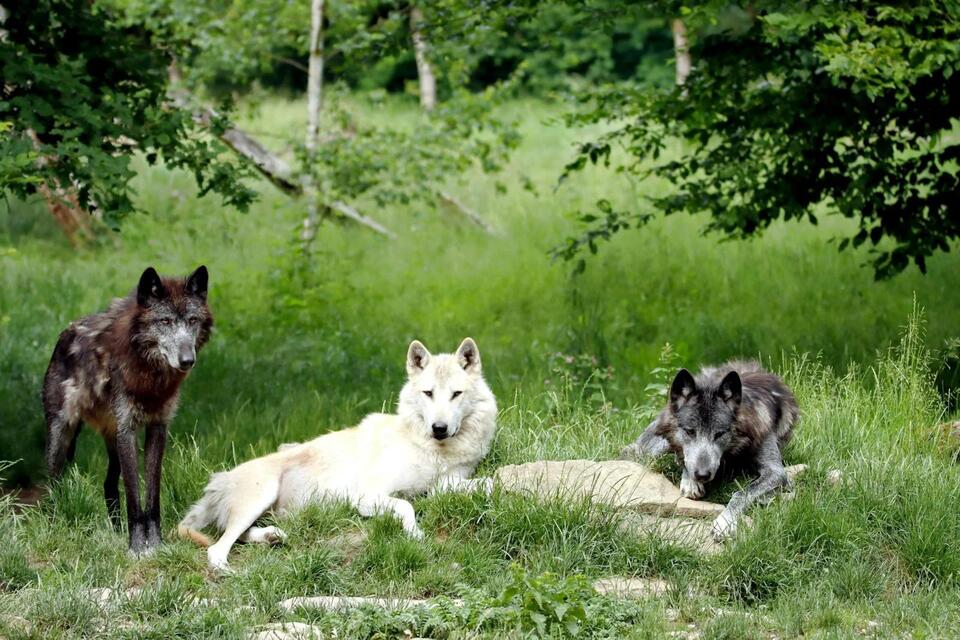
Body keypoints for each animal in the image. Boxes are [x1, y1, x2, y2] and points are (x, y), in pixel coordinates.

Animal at [42, 266, 212, 553]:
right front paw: (136, 548)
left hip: (111, 441)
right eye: (165, 321)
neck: (150, 377)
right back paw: (53, 528)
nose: (187, 360)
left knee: (109, 485)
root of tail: (64, 335)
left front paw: (155, 545)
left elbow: (152, 496)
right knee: (52, 483)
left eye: (192, 320)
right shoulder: (127, 430)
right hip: (61, 435)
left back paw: (115, 532)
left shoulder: (157, 428)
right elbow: (134, 497)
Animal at [177, 337, 497, 571]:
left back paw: (272, 537)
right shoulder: (367, 497)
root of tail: (217, 481)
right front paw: (414, 533)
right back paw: (229, 571)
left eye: (455, 394)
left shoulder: (447, 484)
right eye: (428, 393)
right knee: (217, 548)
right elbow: (406, 506)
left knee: (237, 535)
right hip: (261, 494)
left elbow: (484, 483)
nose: (439, 428)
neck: (433, 450)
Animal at [620, 360, 798, 540]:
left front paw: (725, 521)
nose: (702, 475)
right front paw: (691, 482)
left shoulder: (775, 471)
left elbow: (741, 493)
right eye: (690, 431)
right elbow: (686, 459)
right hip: (657, 446)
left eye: (719, 434)